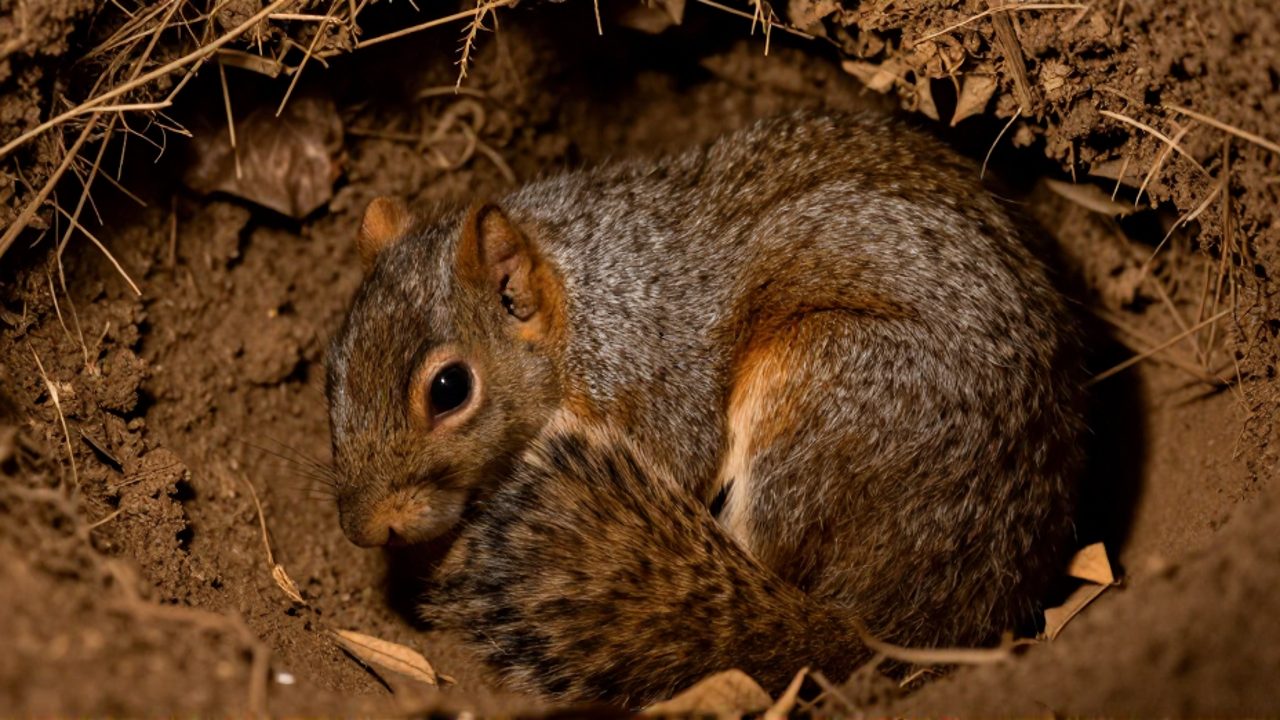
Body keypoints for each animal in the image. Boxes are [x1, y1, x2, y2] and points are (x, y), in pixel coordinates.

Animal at [325, 111, 1085, 704]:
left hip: (827, 396)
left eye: (450, 388)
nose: (365, 529)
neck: (583, 311)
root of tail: (922, 617)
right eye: (333, 366)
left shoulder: (660, 381)